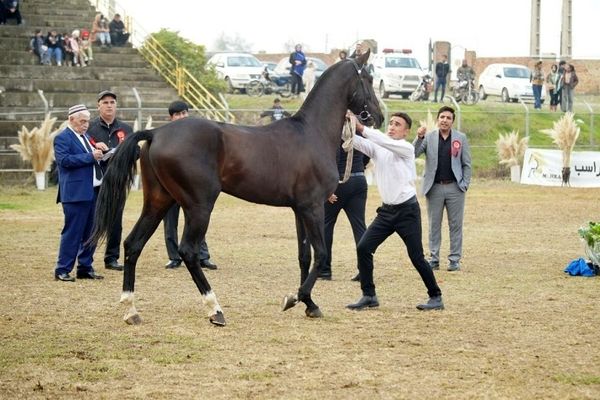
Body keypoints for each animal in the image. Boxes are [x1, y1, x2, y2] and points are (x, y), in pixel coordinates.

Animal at [91, 50, 382, 326]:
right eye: (368, 79)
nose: (378, 116)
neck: (312, 133)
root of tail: (156, 133)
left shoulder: (300, 209)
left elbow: (304, 256)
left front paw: (309, 303)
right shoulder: (313, 208)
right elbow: (320, 254)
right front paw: (295, 298)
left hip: (159, 201)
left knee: (133, 244)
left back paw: (131, 310)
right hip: (199, 206)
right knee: (188, 251)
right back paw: (215, 309)